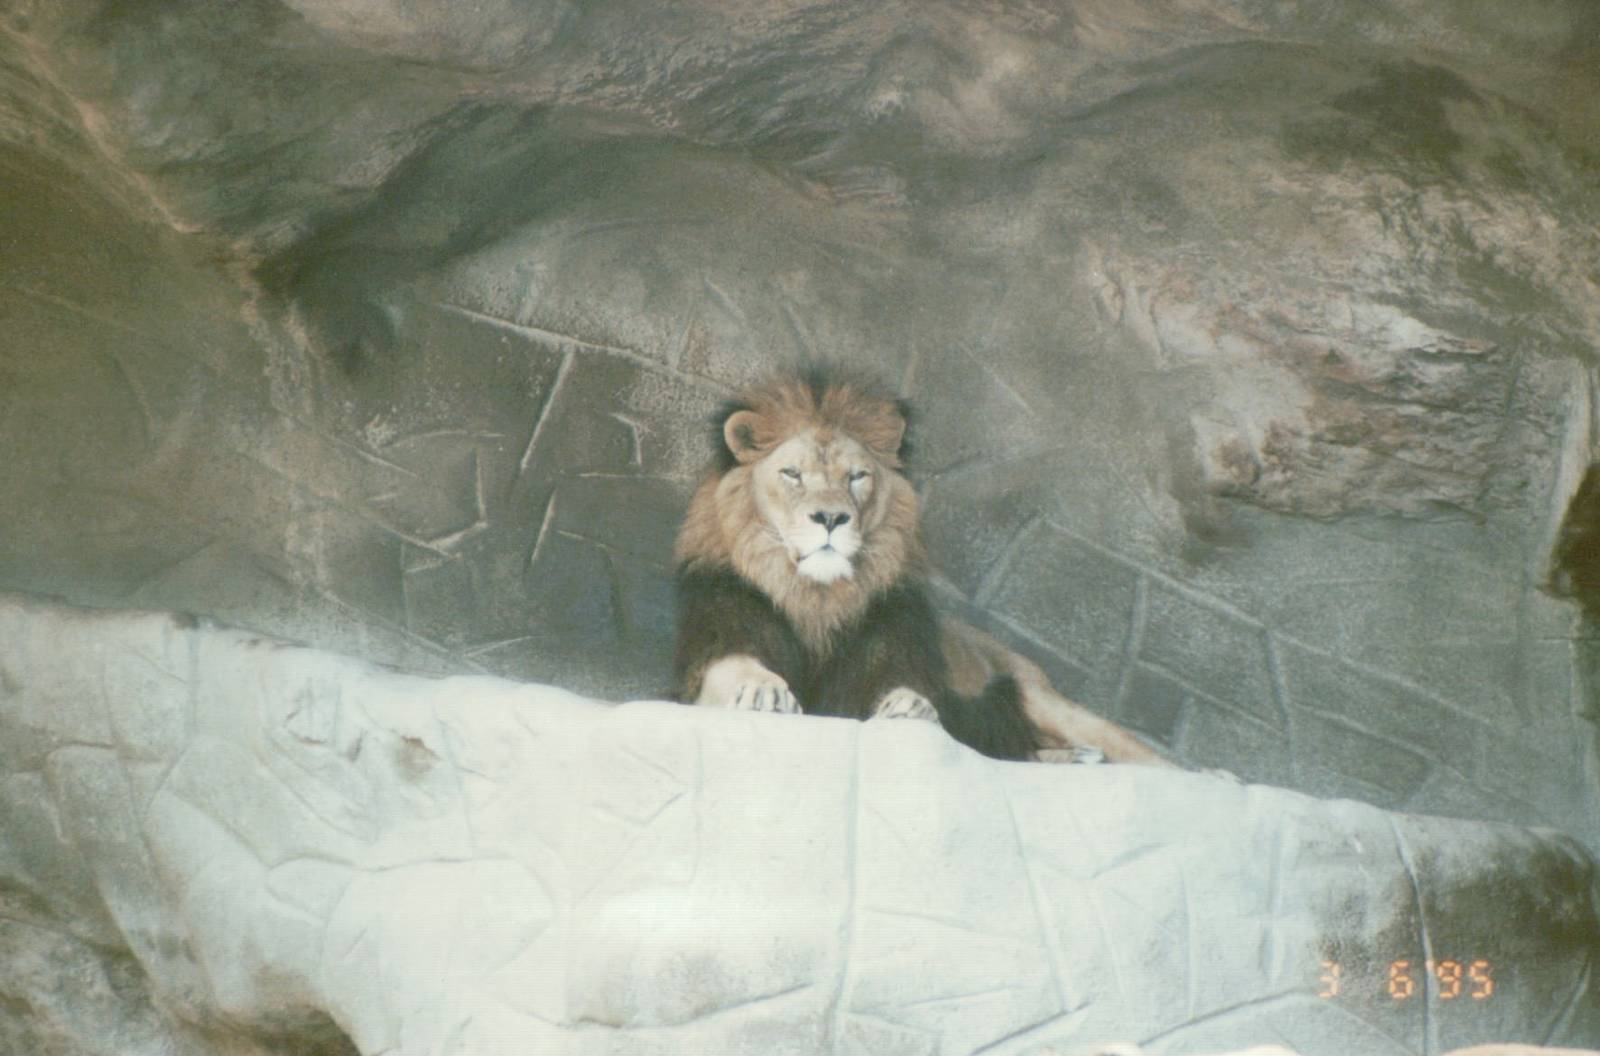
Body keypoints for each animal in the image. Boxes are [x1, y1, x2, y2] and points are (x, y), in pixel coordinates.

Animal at [673, 366, 1170, 764]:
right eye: (792, 474)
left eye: (857, 477)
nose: (832, 518)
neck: (818, 598)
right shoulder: (718, 643)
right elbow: (736, 670)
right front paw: (765, 690)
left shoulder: (892, 656)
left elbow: (905, 688)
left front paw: (911, 706)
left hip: (1042, 698)